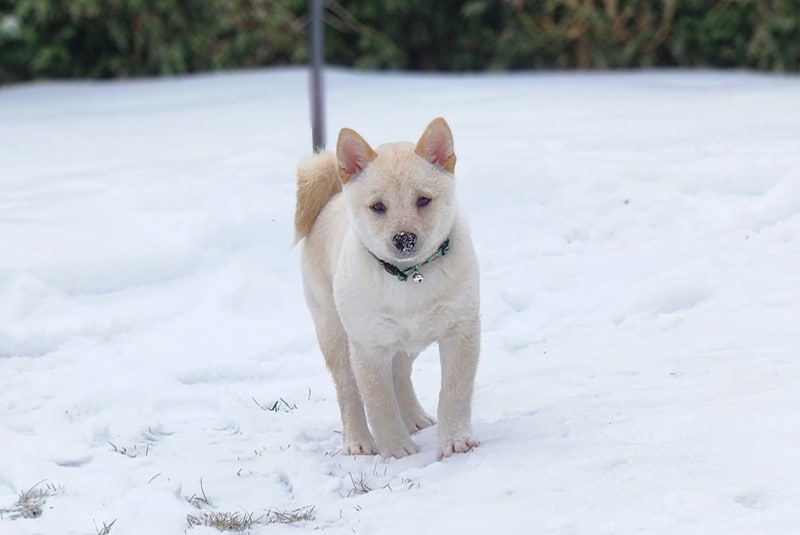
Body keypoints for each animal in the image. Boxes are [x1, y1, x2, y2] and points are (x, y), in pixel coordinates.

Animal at [296, 118, 478, 460]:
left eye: (423, 200)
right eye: (378, 207)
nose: (404, 238)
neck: (409, 276)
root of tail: (330, 199)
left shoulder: (460, 330)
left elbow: (455, 390)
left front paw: (455, 441)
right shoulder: (368, 347)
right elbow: (378, 401)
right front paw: (396, 450)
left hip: (408, 343)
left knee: (400, 374)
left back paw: (416, 418)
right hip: (335, 334)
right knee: (349, 392)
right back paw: (358, 441)